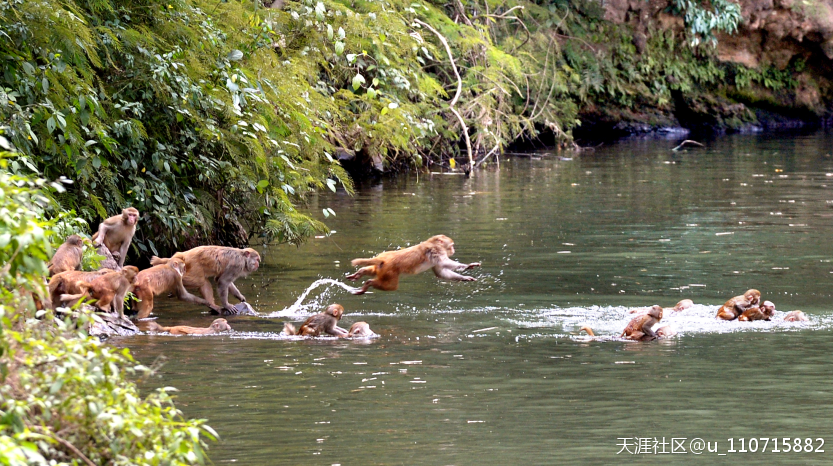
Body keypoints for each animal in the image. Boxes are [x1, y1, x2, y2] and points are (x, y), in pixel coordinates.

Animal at [344, 235, 478, 296]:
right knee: (390, 286)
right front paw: (467, 266)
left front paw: (465, 277)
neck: (433, 243)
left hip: (382, 268)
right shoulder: (436, 251)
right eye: (451, 245)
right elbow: (444, 263)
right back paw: (368, 283)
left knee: (372, 271)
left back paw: (360, 273)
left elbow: (440, 273)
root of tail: (384, 257)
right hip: (390, 271)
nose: (453, 249)